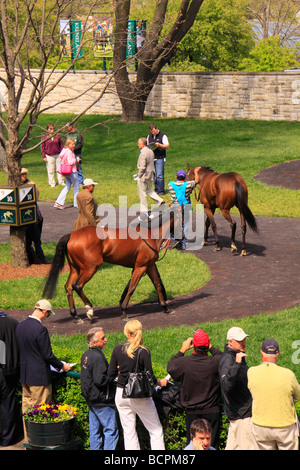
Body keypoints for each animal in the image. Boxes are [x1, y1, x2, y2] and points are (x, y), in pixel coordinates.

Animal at [42, 206, 182, 324]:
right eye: (182, 221)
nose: (180, 239)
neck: (150, 234)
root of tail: (71, 235)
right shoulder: (140, 266)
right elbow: (132, 288)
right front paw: (124, 311)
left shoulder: (150, 265)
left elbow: (157, 284)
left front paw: (166, 307)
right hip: (91, 267)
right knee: (77, 285)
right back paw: (89, 309)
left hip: (75, 268)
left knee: (68, 287)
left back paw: (76, 316)